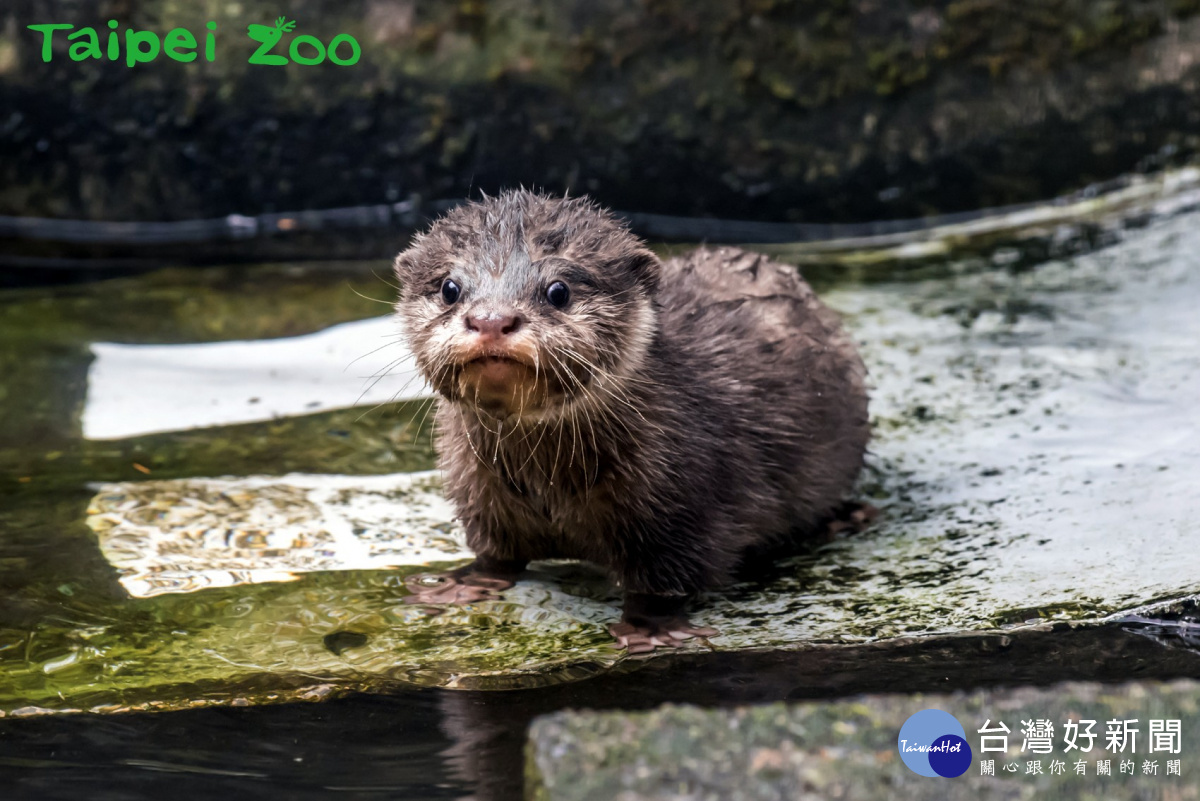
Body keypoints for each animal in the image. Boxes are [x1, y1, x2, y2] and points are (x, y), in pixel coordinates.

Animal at [396, 190, 873, 652]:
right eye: (450, 287)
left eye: (558, 290)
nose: (492, 320)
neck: (549, 484)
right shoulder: (479, 492)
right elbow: (495, 554)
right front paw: (462, 584)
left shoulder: (683, 505)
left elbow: (667, 578)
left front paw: (650, 628)